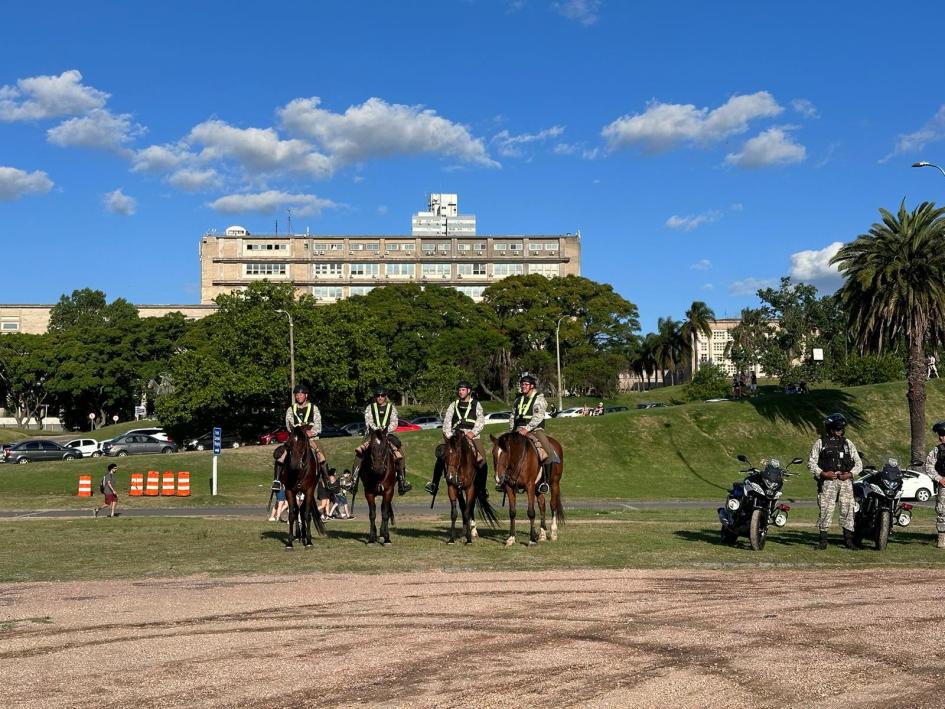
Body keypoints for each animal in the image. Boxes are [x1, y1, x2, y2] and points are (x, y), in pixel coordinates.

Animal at [278, 424, 326, 552]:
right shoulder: (289, 491)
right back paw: (299, 536)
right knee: (297, 510)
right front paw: (289, 543)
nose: (294, 465)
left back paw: (304, 536)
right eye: (288, 444)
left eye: (302, 442)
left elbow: (306, 514)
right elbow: (292, 515)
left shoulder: (309, 490)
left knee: (303, 510)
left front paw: (308, 542)